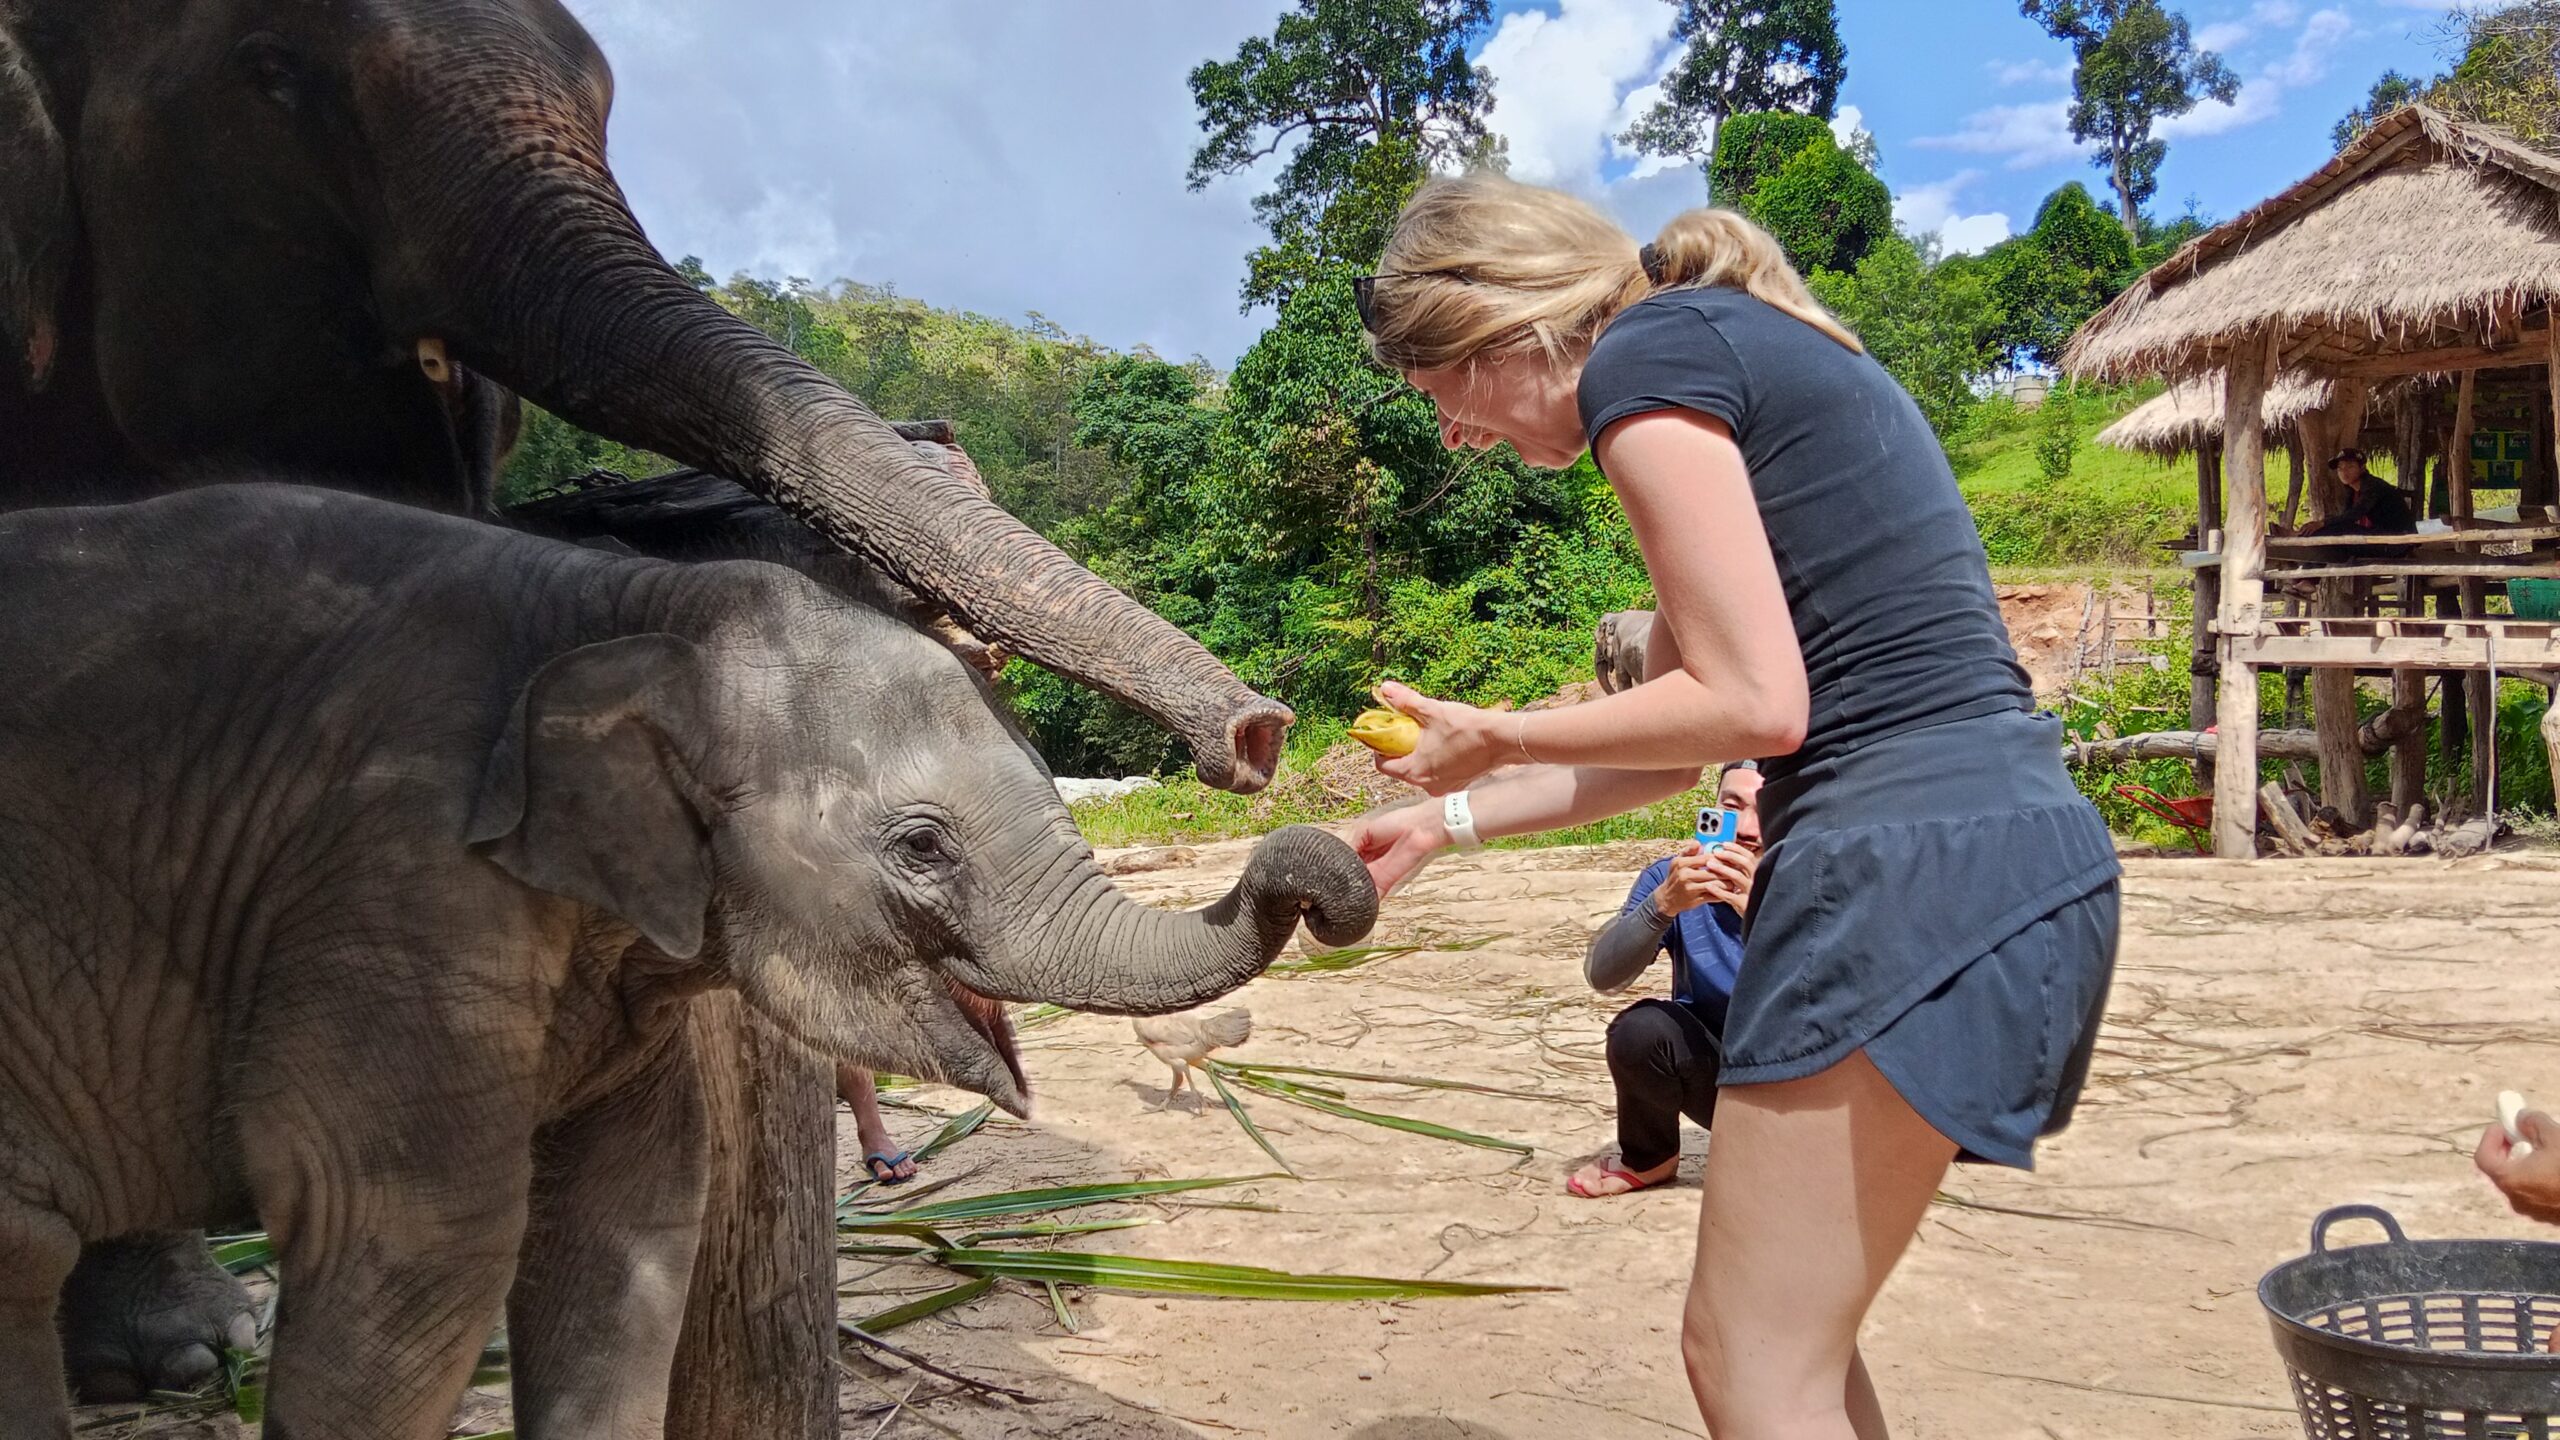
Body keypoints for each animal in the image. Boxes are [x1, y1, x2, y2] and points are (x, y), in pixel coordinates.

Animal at [0, 484, 1379, 1440]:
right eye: (922, 848)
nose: (1264, 748)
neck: (635, 603)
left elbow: (628, 1227)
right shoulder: (385, 889)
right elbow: (414, 1244)